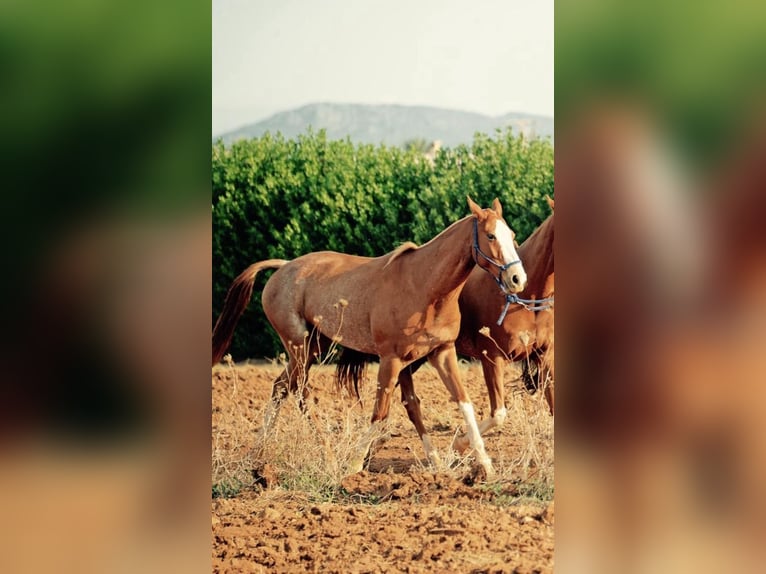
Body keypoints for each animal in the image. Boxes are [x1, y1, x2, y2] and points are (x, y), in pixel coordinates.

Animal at [212, 197, 527, 476]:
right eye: (490, 236)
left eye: (511, 235)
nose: (517, 279)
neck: (425, 287)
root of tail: (283, 267)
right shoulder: (391, 360)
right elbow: (381, 412)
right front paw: (353, 465)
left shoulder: (442, 353)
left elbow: (463, 403)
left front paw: (484, 466)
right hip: (297, 345)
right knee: (301, 391)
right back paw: (328, 457)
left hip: (312, 347)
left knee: (281, 387)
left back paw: (257, 453)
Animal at [338, 197, 554, 457]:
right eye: (491, 236)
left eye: (511, 235)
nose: (517, 279)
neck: (527, 299)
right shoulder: (491, 357)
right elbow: (498, 414)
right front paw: (459, 444)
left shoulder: (544, 355)